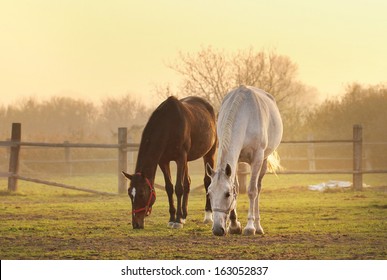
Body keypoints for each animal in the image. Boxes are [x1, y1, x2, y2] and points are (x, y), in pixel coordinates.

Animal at [123, 95, 217, 229]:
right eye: (130, 193)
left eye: (141, 193)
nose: (136, 224)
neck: (169, 124)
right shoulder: (164, 161)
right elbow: (169, 188)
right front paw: (173, 218)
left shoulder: (180, 158)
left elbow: (178, 188)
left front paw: (177, 220)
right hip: (187, 160)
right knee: (187, 183)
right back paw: (184, 216)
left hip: (209, 153)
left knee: (207, 181)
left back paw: (208, 216)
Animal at [208, 85, 284, 236]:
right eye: (209, 194)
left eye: (227, 194)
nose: (217, 229)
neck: (245, 116)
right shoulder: (235, 160)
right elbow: (236, 188)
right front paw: (234, 225)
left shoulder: (257, 158)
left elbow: (252, 191)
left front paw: (249, 227)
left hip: (263, 161)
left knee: (258, 189)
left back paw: (258, 227)